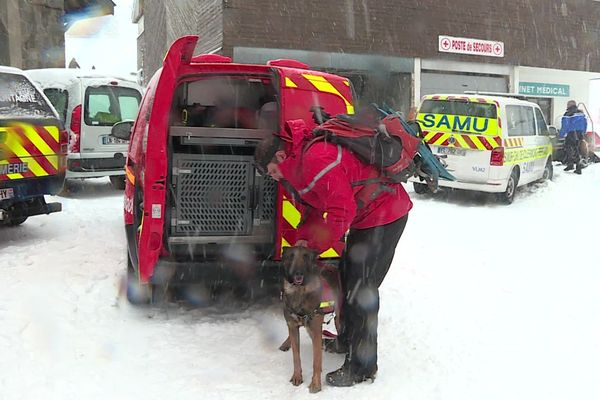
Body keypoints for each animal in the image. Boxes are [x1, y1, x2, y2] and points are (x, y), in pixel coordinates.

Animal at [278, 247, 340, 394]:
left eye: (306, 256)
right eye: (291, 256)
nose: (297, 273)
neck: (299, 291)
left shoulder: (316, 330)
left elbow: (316, 361)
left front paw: (316, 384)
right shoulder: (293, 326)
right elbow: (296, 356)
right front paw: (297, 376)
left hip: (337, 318)